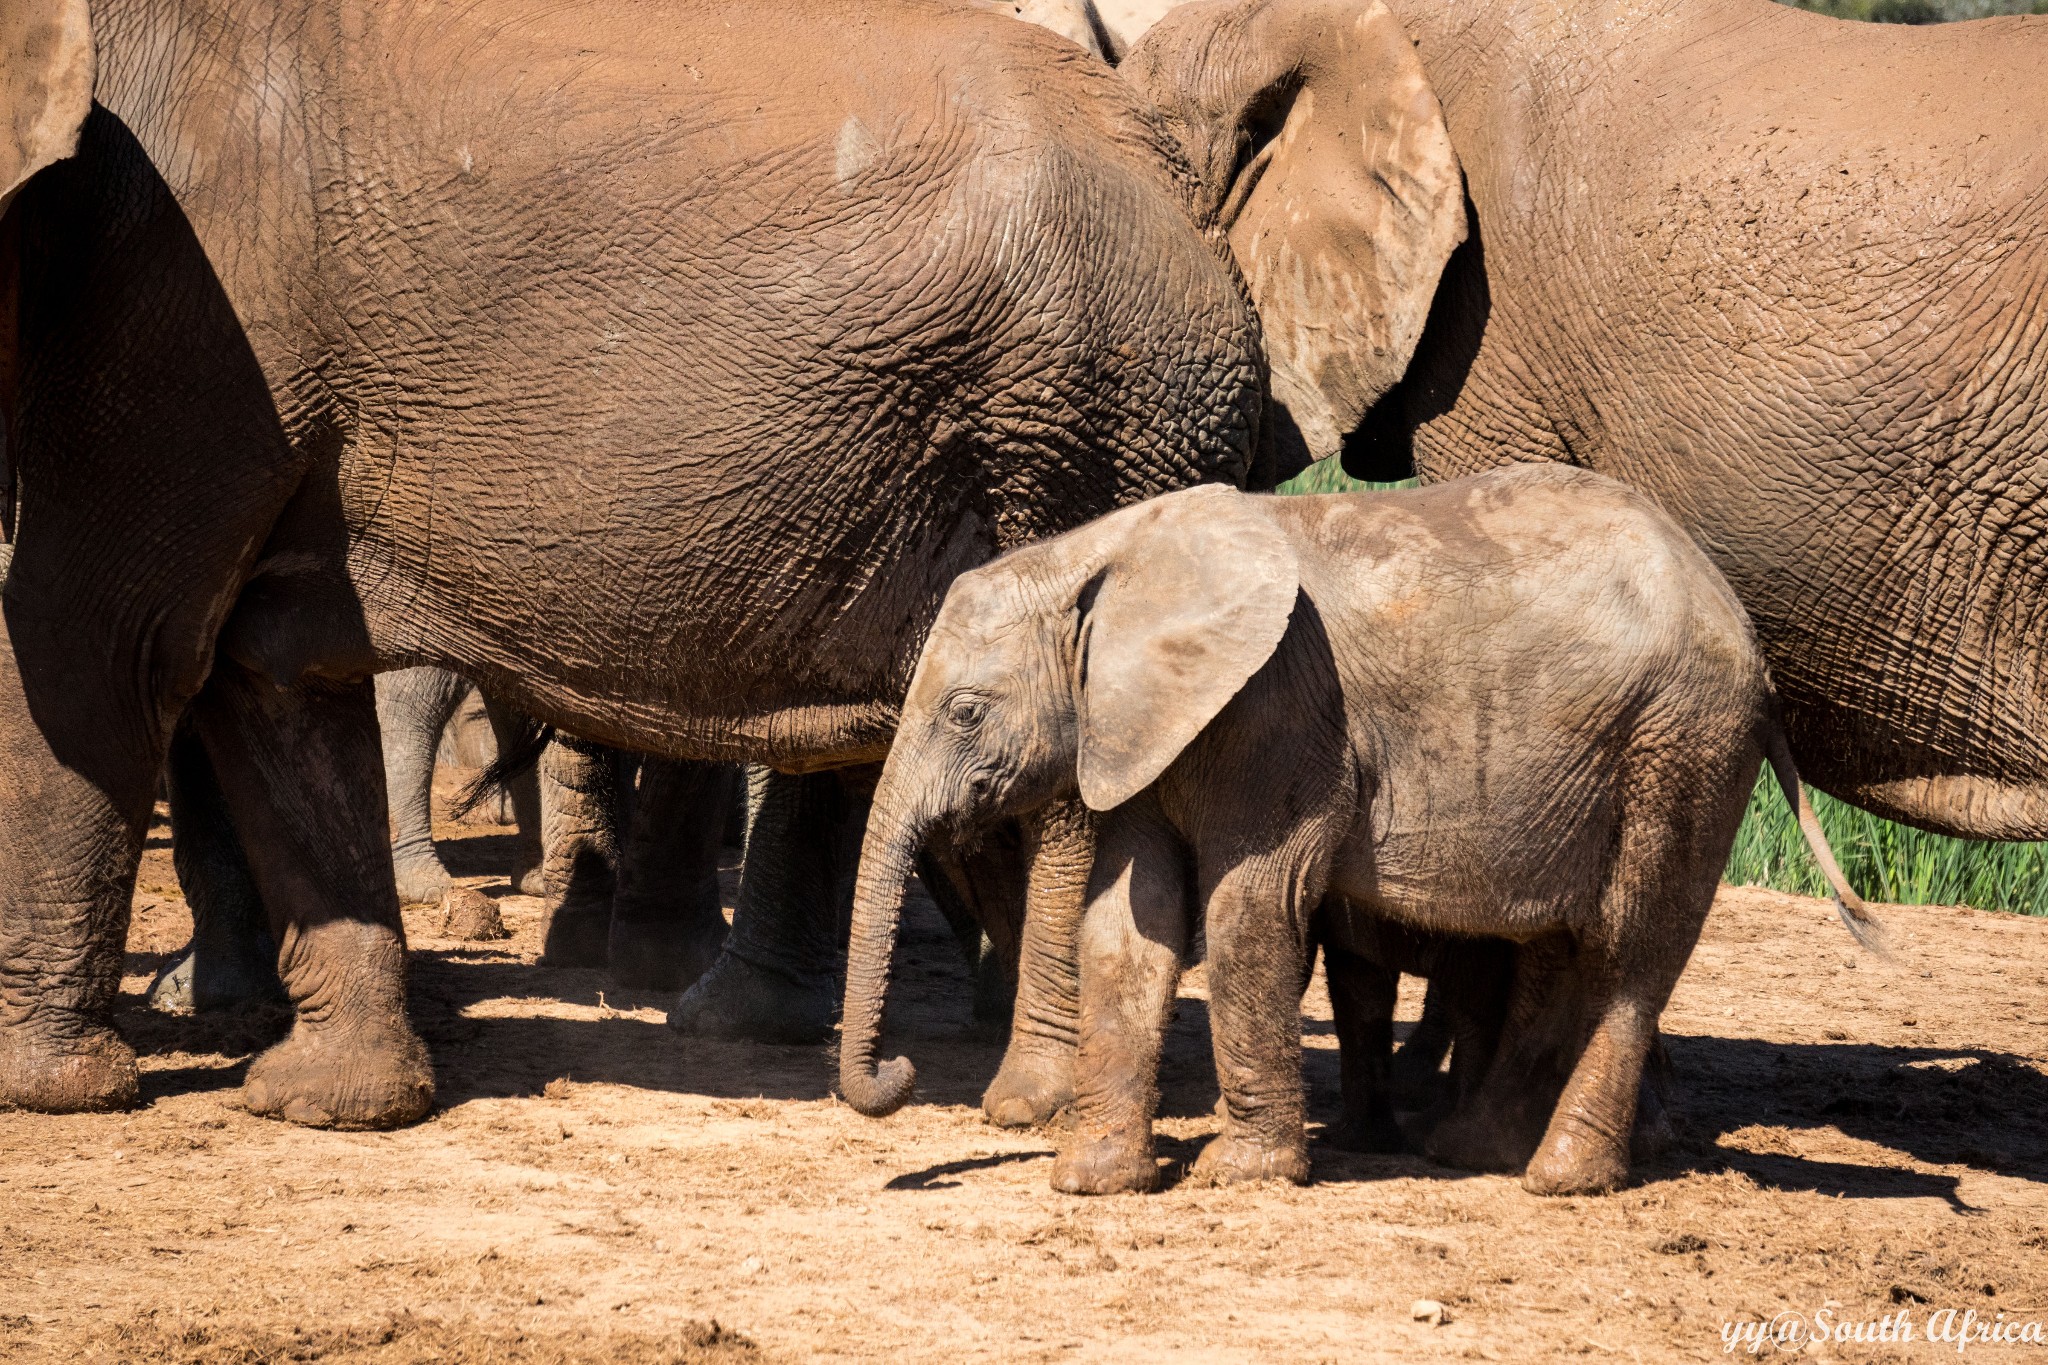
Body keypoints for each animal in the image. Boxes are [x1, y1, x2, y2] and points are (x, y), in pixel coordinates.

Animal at [0, 0, 1458, 1129]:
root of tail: (1182, 196)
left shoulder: (174, 285)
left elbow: (95, 639)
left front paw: (47, 1092)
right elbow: (261, 677)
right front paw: (333, 1104)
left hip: (1081, 420)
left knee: (1067, 783)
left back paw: (1028, 1102)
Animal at [835, 466, 1875, 1195]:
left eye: (967, 712)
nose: (902, 1071)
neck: (1108, 554)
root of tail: (1748, 636)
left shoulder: (1280, 708)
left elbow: (1247, 910)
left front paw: (1239, 1176)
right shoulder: (1138, 724)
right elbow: (1129, 921)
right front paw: (1092, 1180)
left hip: (1680, 743)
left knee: (1625, 948)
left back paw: (1558, 1179)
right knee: (1556, 946)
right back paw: (1469, 1152)